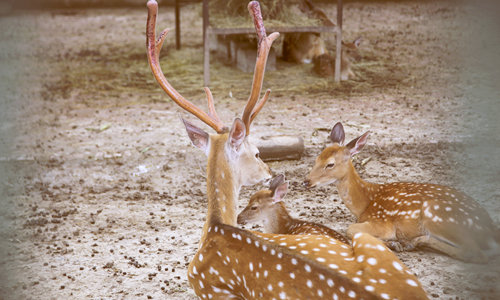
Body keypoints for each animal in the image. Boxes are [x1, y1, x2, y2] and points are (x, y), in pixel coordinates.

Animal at [304, 122, 500, 262]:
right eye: (316, 158)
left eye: (330, 164)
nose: (306, 181)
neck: (365, 202)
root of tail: (490, 228)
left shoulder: (382, 222)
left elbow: (351, 229)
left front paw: (391, 243)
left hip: (438, 215)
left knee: (473, 253)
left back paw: (411, 242)